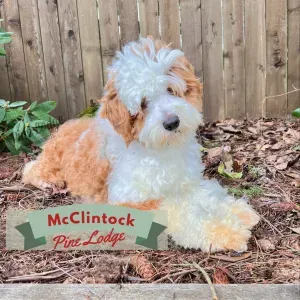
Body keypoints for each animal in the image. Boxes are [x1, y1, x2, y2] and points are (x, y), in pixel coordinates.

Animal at [23, 37, 258, 253]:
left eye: (170, 89)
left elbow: (206, 193)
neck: (161, 149)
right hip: (49, 162)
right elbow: (176, 208)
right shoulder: (129, 200)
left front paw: (236, 211)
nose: (172, 122)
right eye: (143, 103)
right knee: (30, 169)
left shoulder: (186, 182)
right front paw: (222, 231)